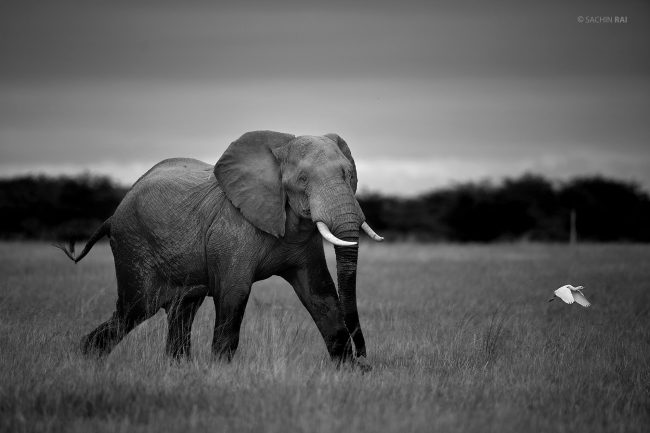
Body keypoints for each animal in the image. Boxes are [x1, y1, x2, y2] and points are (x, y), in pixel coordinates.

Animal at [58, 131, 383, 369]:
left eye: (349, 175)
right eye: (302, 180)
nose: (364, 360)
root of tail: (112, 216)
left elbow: (321, 294)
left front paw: (346, 371)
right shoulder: (231, 230)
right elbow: (234, 293)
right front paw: (221, 372)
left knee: (181, 309)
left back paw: (176, 367)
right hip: (133, 245)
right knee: (134, 309)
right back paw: (86, 358)